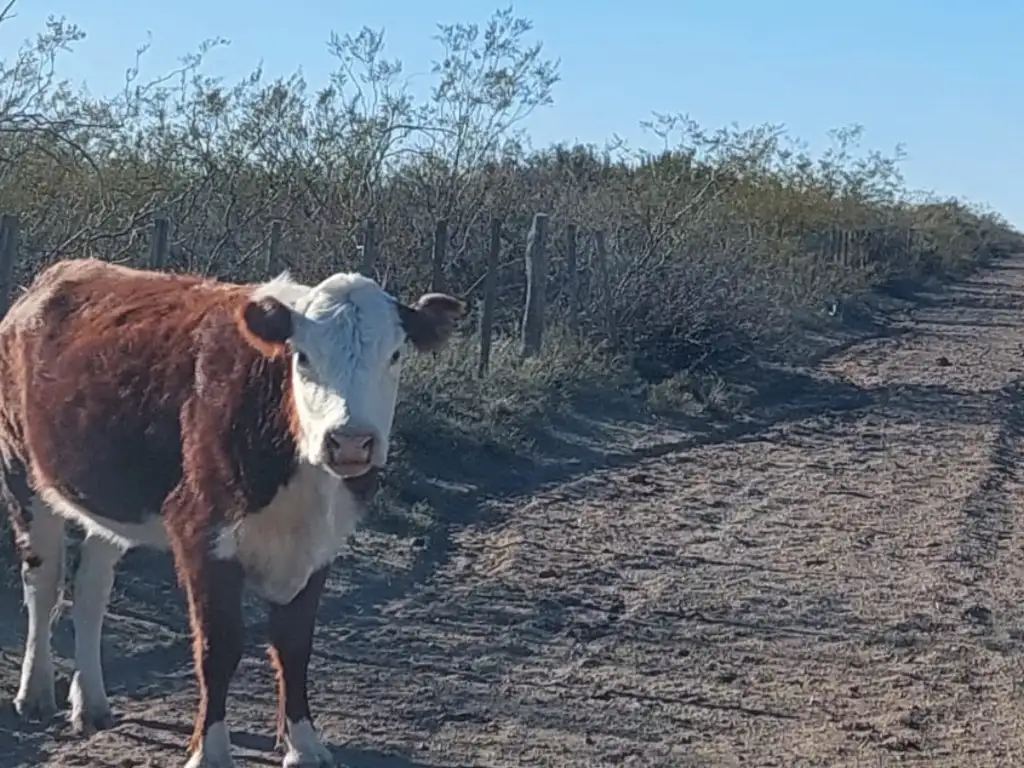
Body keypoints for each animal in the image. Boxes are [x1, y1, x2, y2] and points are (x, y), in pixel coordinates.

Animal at [0, 260, 464, 768]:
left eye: (395, 355)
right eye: (303, 357)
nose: (350, 441)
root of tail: (52, 277)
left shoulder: (319, 547)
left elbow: (294, 645)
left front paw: (304, 745)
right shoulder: (202, 535)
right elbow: (217, 647)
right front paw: (210, 750)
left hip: (107, 500)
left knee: (91, 588)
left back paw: (92, 703)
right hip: (21, 468)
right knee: (43, 583)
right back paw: (34, 692)